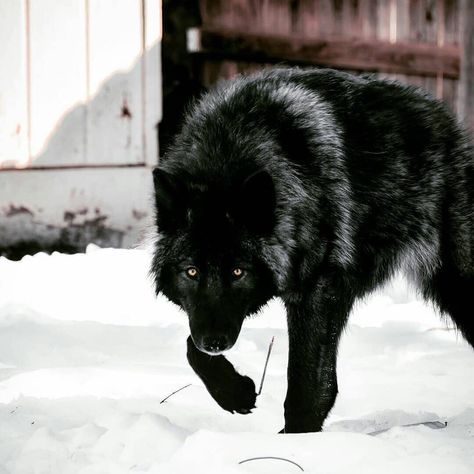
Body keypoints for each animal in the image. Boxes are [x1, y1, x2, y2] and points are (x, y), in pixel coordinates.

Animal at [152, 67, 474, 434]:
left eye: (238, 272)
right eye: (192, 271)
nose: (216, 342)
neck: (229, 151)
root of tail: (447, 122)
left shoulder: (318, 292)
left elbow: (308, 384)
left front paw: (298, 438)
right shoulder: (205, 317)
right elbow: (190, 347)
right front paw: (235, 393)